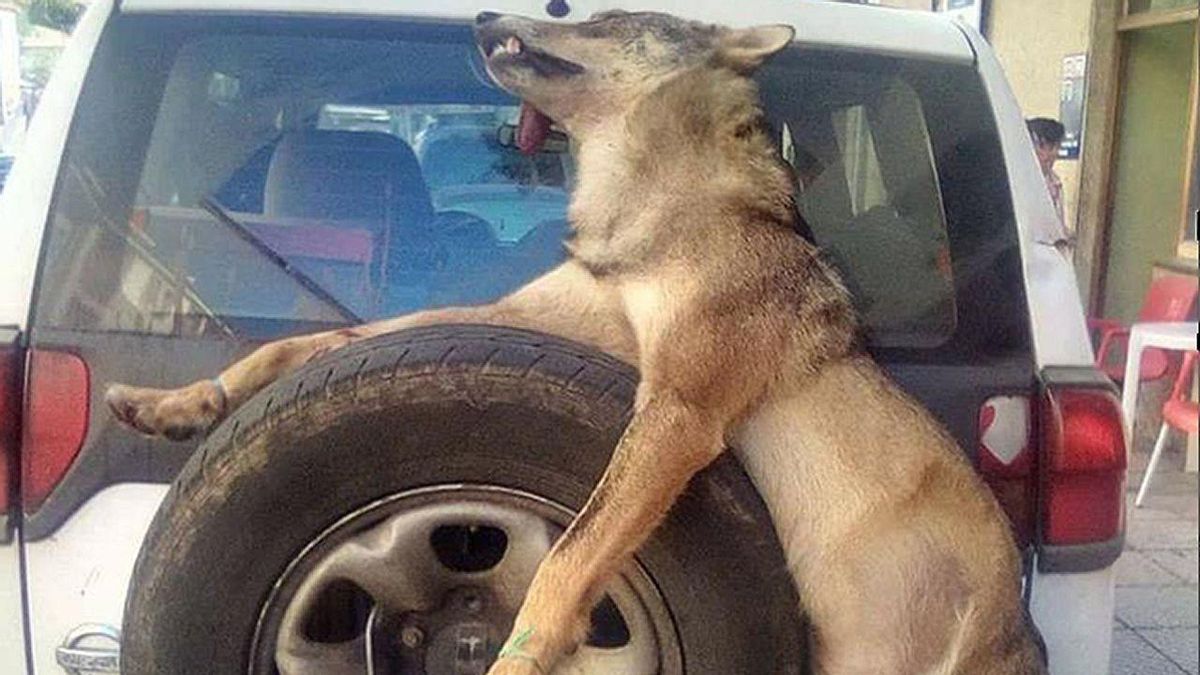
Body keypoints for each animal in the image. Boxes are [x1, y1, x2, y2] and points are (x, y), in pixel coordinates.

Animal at [106, 10, 1047, 675]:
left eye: (605, 16)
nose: (483, 17)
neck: (646, 215)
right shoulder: (521, 320)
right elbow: (322, 339)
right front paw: (177, 402)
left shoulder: (679, 413)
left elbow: (566, 559)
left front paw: (512, 661)